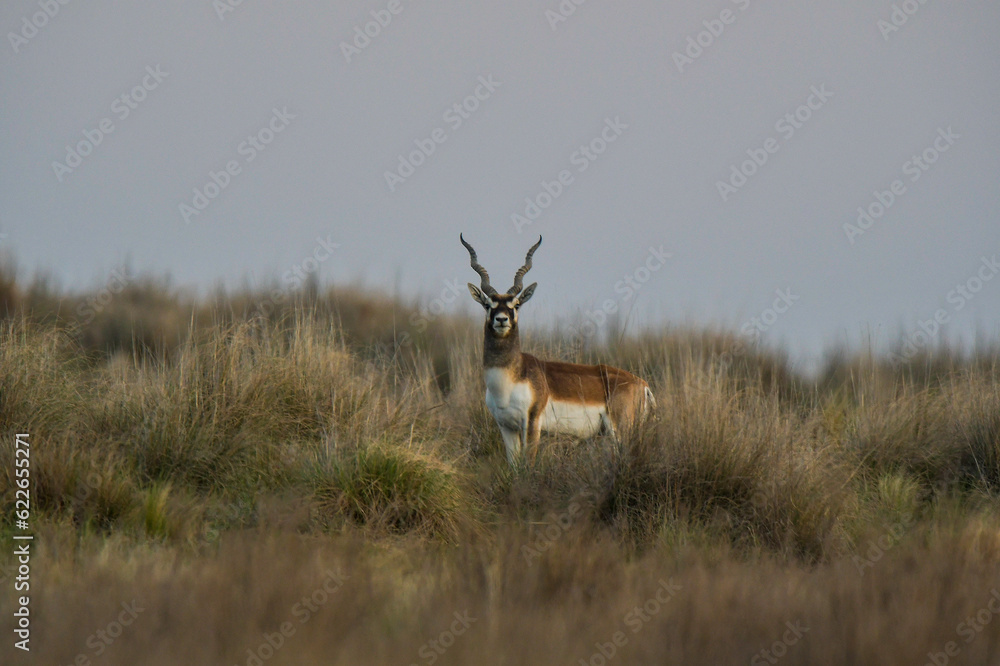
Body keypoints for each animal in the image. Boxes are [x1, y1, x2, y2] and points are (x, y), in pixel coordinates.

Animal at [460, 234, 656, 465]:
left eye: (516, 305)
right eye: (488, 304)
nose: (501, 319)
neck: (511, 377)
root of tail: (642, 384)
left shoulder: (532, 423)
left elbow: (528, 466)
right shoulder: (506, 427)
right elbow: (514, 466)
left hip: (621, 431)